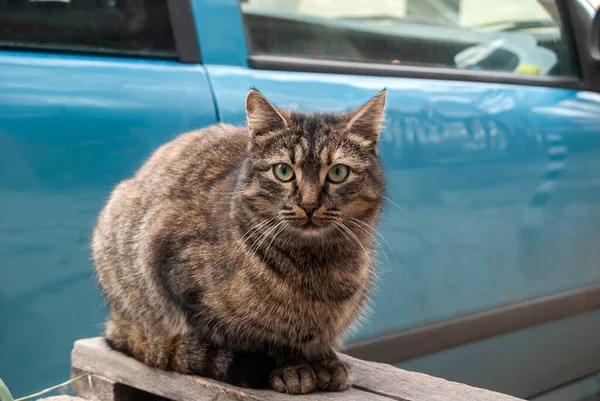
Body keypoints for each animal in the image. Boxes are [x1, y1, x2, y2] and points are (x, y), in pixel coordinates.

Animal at [91, 88, 386, 394]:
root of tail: (115, 321)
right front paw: (290, 365)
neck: (318, 264)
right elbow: (263, 339)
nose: (309, 204)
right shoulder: (167, 254)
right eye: (283, 171)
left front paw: (323, 360)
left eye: (338, 173)